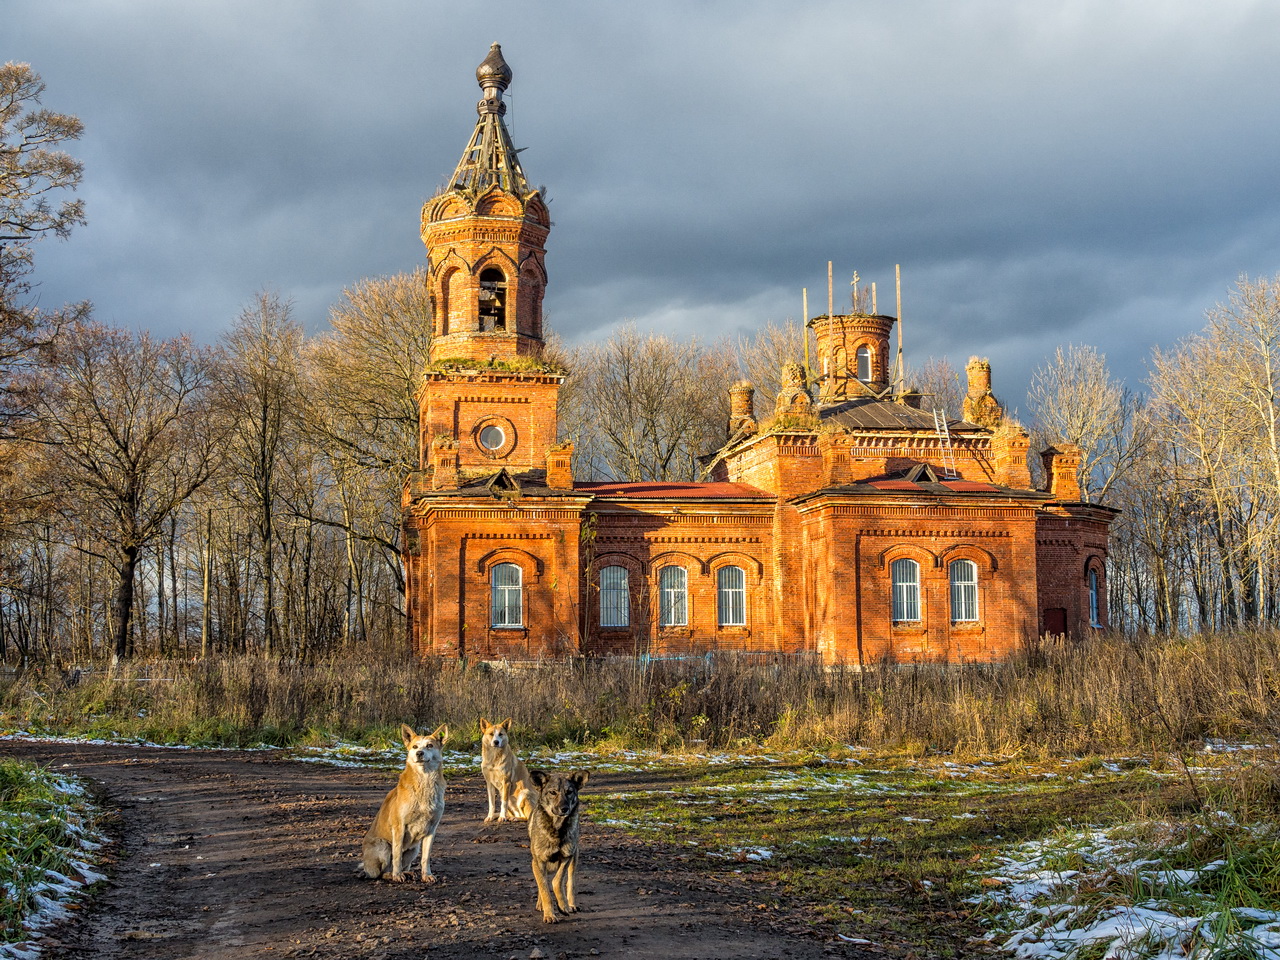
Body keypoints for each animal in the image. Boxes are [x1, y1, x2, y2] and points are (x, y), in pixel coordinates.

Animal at [360, 727, 450, 885]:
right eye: (415, 746)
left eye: (429, 746)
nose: (419, 753)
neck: (424, 784)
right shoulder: (399, 827)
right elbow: (397, 855)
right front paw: (397, 875)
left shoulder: (432, 829)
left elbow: (425, 858)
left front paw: (427, 875)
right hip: (383, 846)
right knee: (381, 873)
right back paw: (392, 874)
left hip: (413, 849)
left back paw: (408, 872)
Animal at [524, 773, 588, 921]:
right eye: (552, 792)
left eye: (569, 792)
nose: (564, 808)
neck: (557, 829)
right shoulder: (538, 862)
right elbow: (544, 888)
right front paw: (549, 914)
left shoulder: (566, 857)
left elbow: (557, 881)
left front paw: (563, 906)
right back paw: (541, 904)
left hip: (574, 858)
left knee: (570, 881)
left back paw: (570, 904)